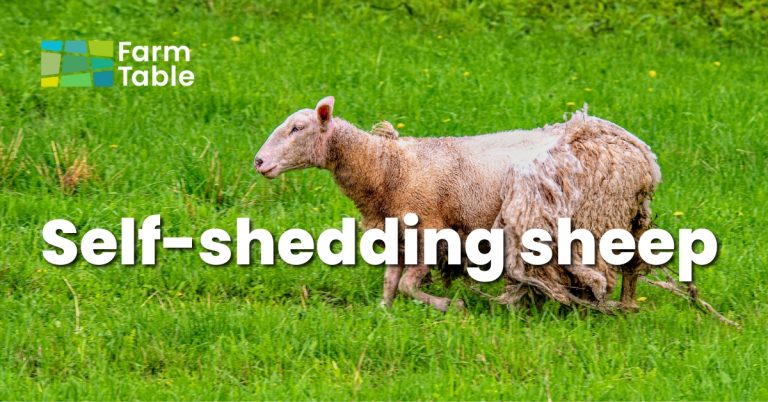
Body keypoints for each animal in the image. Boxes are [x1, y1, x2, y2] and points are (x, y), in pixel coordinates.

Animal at [253, 96, 661, 312]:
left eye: (297, 128)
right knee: (630, 270)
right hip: (625, 219)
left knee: (602, 273)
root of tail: (643, 156)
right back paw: (626, 308)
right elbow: (390, 281)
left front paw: (448, 305)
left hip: (597, 217)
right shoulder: (400, 234)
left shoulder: (433, 231)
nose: (258, 162)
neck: (389, 168)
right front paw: (384, 312)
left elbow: (408, 284)